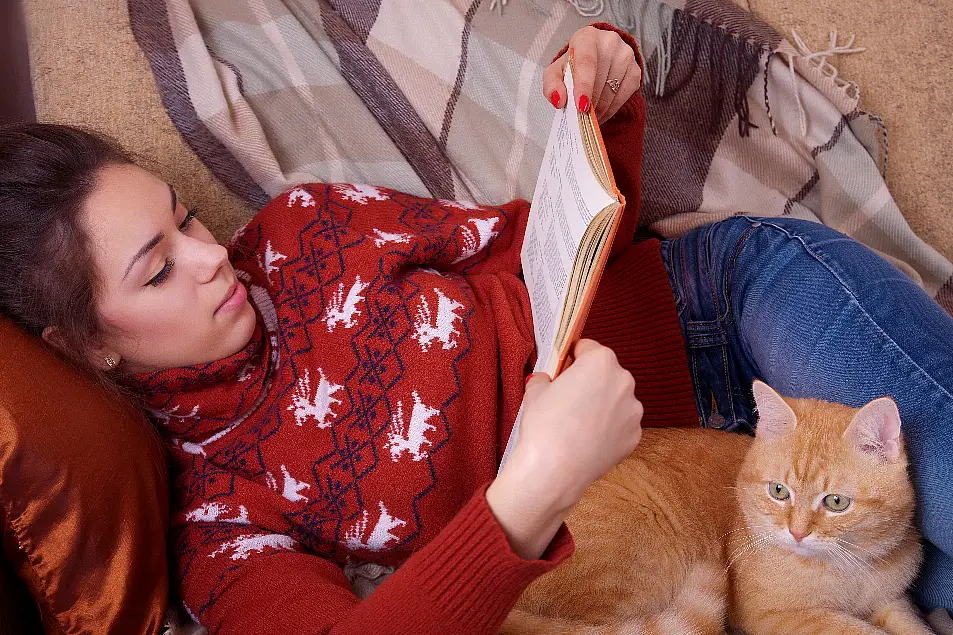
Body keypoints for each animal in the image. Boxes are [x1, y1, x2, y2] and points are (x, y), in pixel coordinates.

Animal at [502, 380, 932, 632]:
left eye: (836, 502)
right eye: (779, 491)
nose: (796, 532)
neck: (851, 570)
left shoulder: (893, 601)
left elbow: (912, 626)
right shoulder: (777, 616)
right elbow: (858, 630)